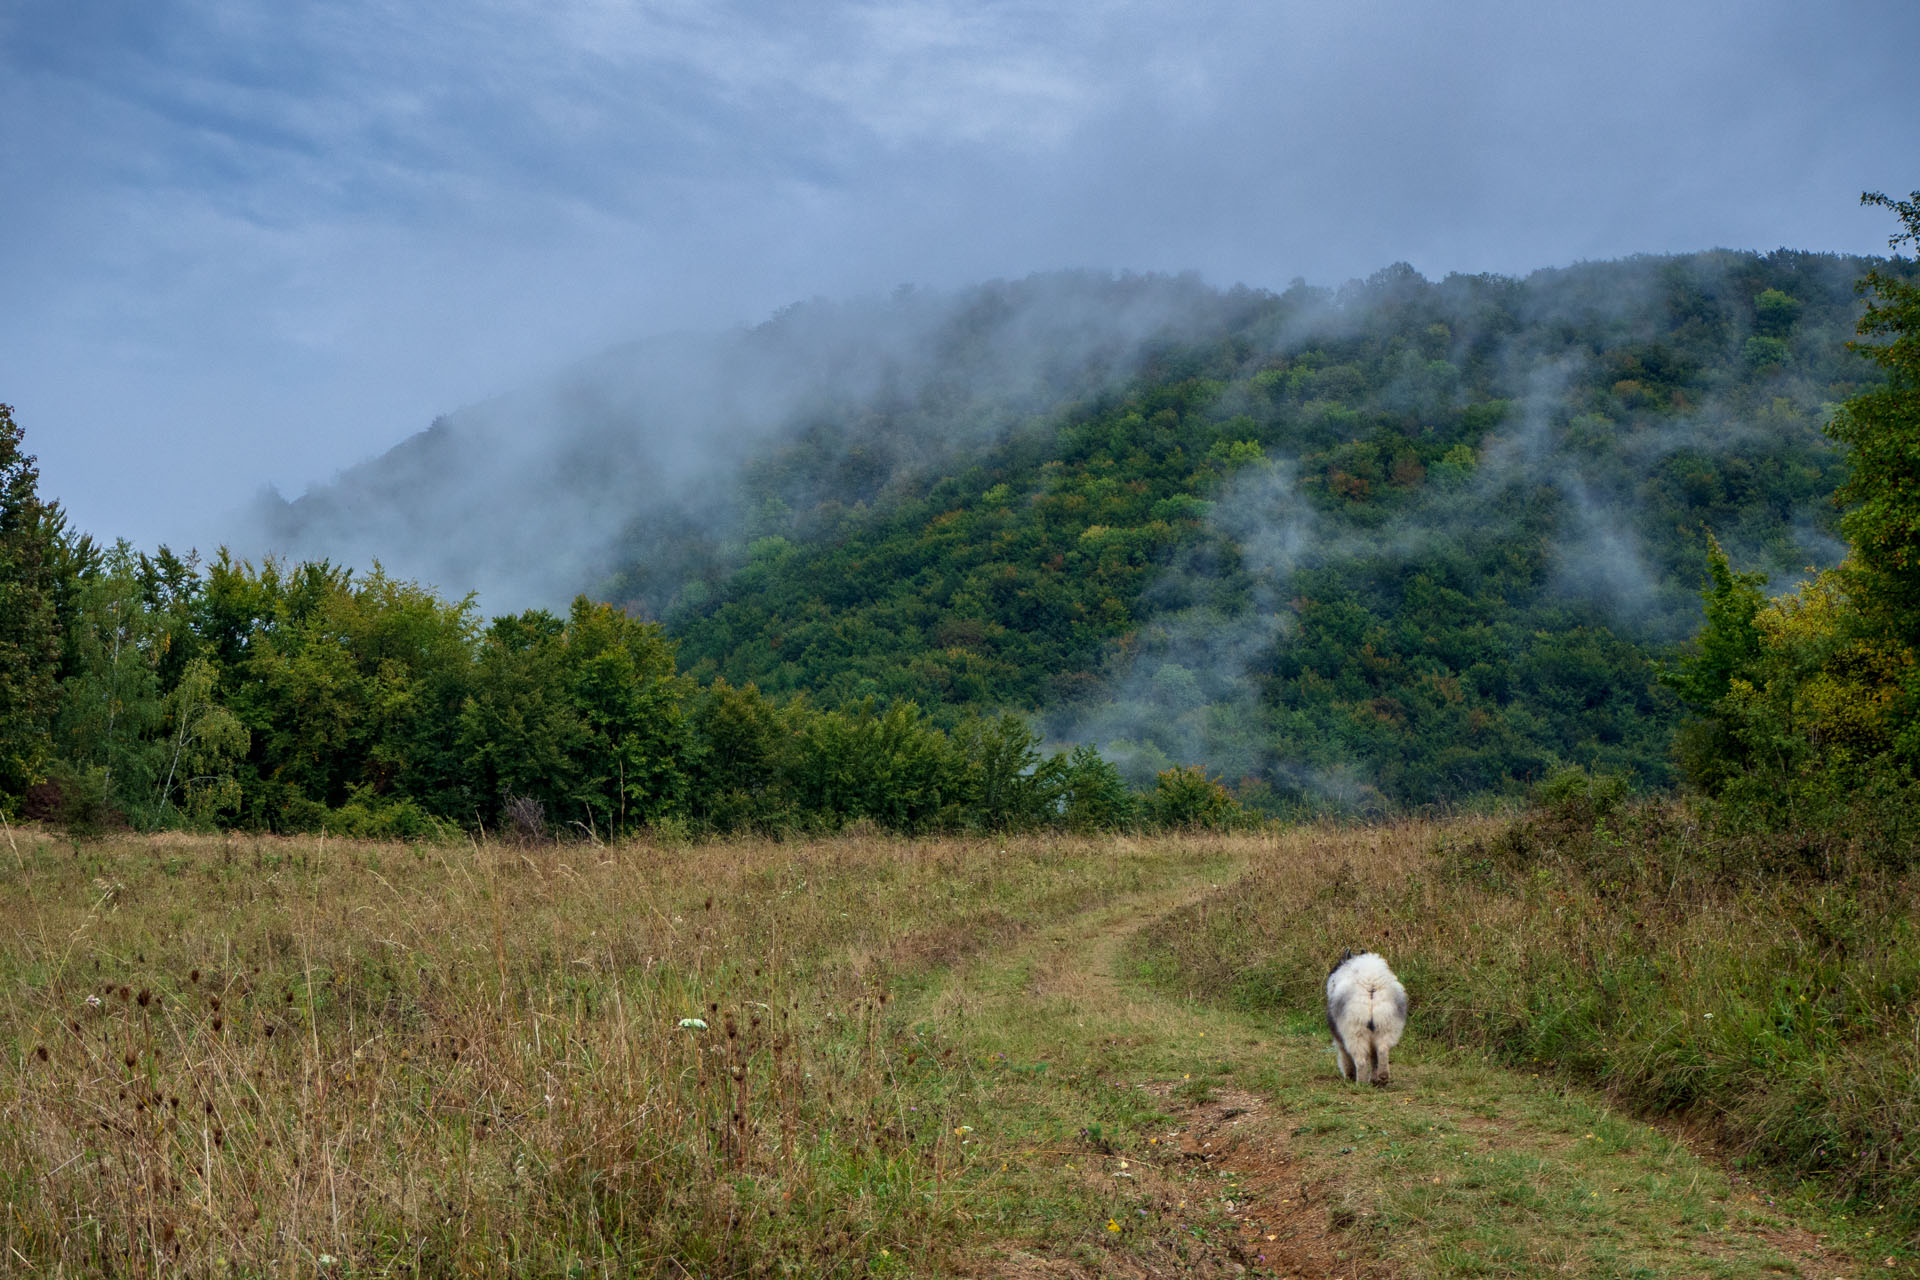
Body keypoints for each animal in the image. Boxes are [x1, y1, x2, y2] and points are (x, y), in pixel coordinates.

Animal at [1320, 951, 1413, 1090]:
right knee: (1382, 1050)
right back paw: (1382, 1078)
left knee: (1360, 1060)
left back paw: (1361, 1083)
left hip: (1355, 1031)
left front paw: (1350, 1076)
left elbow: (1345, 1057)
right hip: (1386, 1025)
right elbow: (1374, 1059)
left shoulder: (1340, 1038)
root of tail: (1371, 984)